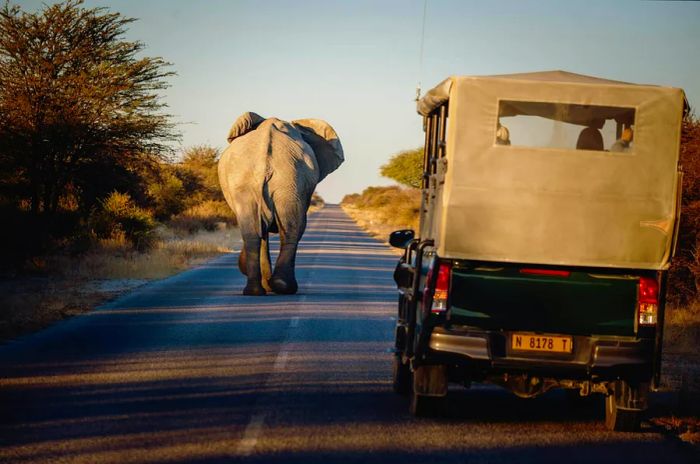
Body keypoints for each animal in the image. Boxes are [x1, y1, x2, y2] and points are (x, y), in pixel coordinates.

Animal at [216, 110, 342, 296]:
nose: (241, 265)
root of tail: (265, 162)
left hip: (286, 181)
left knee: (264, 231)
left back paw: (267, 289)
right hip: (276, 180)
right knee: (282, 229)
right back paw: (273, 288)